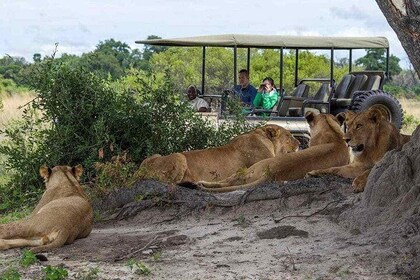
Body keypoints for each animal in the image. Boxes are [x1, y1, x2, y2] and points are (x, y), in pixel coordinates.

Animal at [199, 111, 350, 192]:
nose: (299, 143)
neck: (333, 133)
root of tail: (271, 174)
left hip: (249, 169)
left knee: (229, 181)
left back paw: (200, 183)